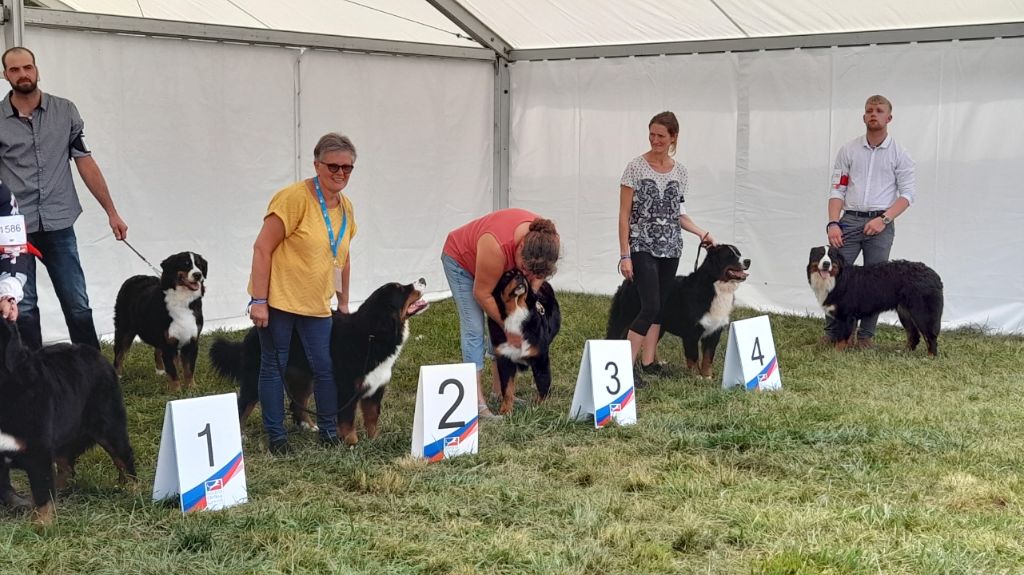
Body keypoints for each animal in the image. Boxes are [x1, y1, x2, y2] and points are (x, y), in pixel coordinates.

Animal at [113, 250, 207, 388]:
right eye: (185, 264)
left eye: (199, 265)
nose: (198, 275)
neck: (183, 300)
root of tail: (132, 278)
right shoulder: (168, 343)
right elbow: (173, 372)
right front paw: (176, 390)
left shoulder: (191, 340)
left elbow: (189, 369)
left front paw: (192, 388)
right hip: (124, 329)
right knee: (119, 354)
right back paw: (118, 376)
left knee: (157, 352)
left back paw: (160, 371)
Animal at [211, 278, 428, 444]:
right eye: (401, 289)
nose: (423, 279)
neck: (371, 336)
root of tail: (254, 331)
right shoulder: (347, 388)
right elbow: (348, 419)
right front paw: (352, 443)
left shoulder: (375, 387)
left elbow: (372, 416)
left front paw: (374, 440)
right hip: (256, 376)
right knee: (244, 405)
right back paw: (241, 436)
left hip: (305, 378)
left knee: (297, 404)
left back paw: (309, 426)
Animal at [485, 268, 561, 411]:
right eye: (507, 276)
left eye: (522, 274)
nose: (519, 277)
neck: (516, 311)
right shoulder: (505, 358)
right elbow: (507, 388)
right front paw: (505, 411)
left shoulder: (540, 357)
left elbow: (543, 383)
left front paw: (541, 408)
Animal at [602, 243, 749, 378]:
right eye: (729, 255)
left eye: (739, 253)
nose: (748, 261)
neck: (714, 286)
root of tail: (629, 280)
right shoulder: (691, 332)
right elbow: (693, 357)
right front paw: (696, 377)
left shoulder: (714, 331)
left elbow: (708, 357)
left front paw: (707, 377)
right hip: (625, 317)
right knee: (617, 335)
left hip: (658, 324)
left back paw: (657, 363)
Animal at [806, 242, 942, 354]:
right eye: (820, 255)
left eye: (832, 256)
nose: (826, 264)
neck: (836, 279)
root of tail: (933, 274)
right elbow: (848, 337)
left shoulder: (845, 316)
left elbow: (842, 338)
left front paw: (837, 353)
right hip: (904, 312)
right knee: (913, 335)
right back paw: (904, 352)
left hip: (922, 313)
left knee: (930, 336)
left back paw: (930, 357)